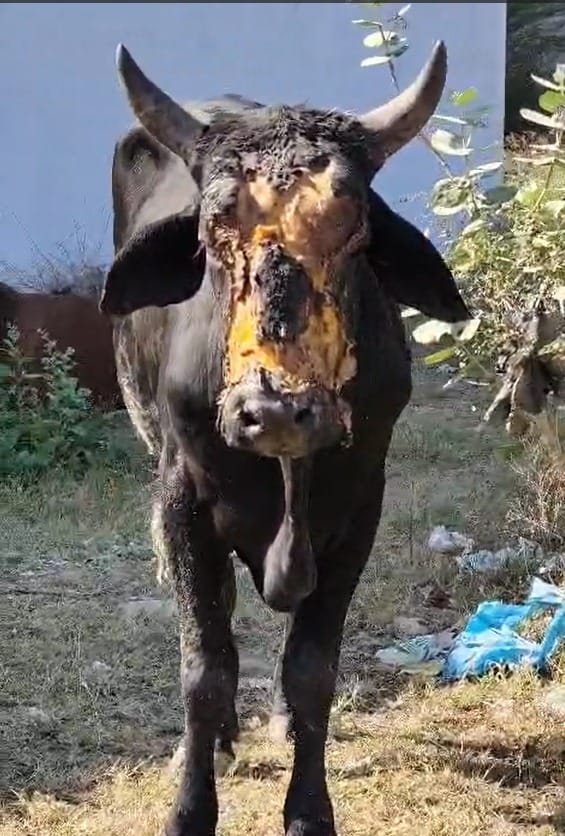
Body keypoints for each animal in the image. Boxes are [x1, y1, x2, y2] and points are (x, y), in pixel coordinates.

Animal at [100, 42, 470, 836]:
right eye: (211, 233)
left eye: (355, 226)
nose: (273, 412)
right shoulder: (182, 503)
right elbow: (204, 668)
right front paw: (190, 804)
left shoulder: (359, 509)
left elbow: (311, 669)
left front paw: (307, 810)